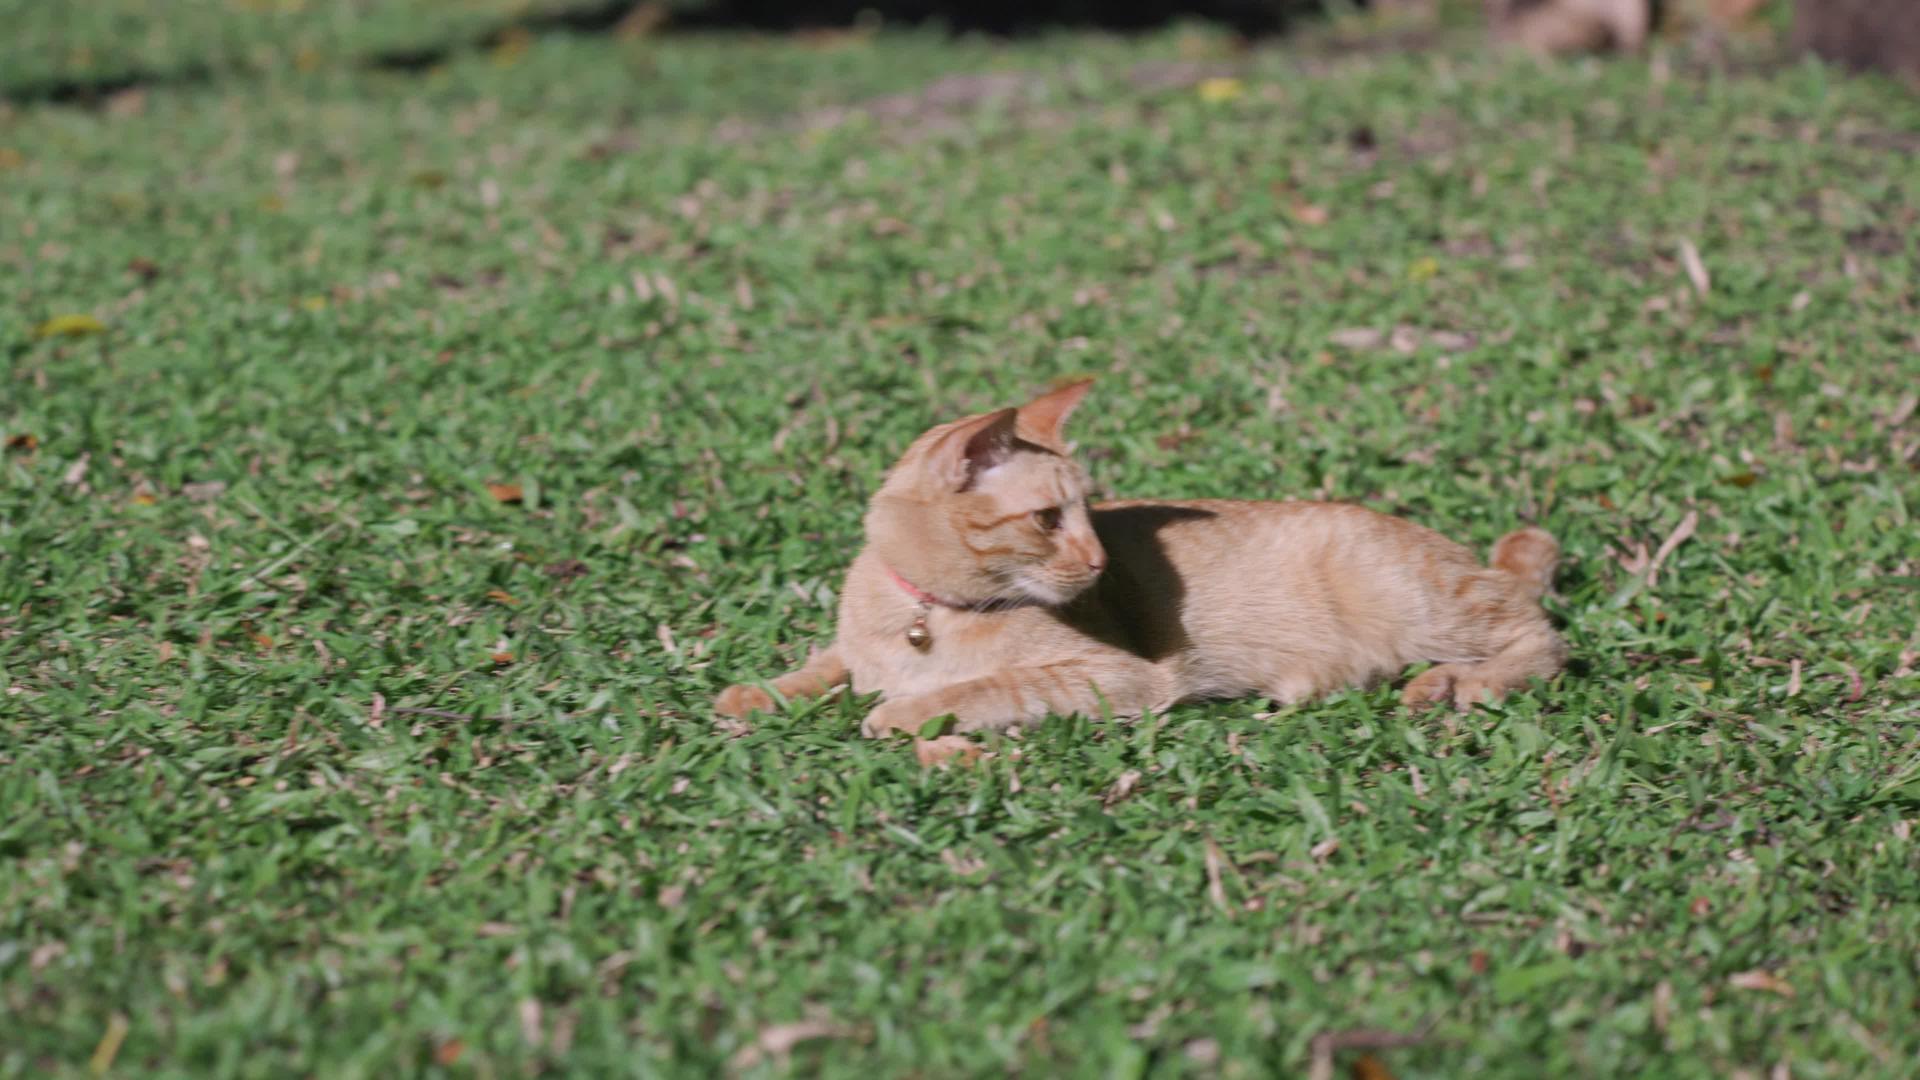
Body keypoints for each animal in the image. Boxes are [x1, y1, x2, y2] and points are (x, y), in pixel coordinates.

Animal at [714, 382, 1566, 745]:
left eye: (1092, 512)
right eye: (1049, 519)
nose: (1098, 563)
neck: (926, 616)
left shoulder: (1115, 678)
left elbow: (987, 686)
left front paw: (903, 712)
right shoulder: (855, 649)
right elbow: (824, 662)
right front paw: (760, 693)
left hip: (1426, 603)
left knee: (1545, 637)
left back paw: (1465, 686)